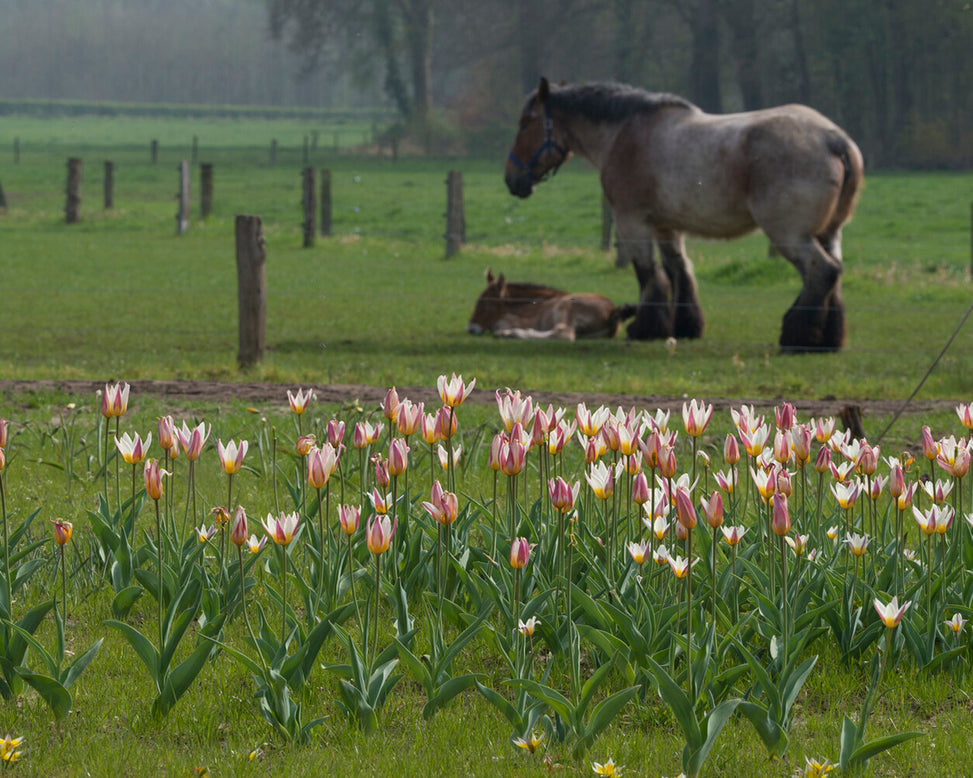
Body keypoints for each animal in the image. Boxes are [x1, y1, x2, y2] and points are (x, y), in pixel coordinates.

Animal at [466, 268, 636, 338]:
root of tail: (612, 310)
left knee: (563, 333)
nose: (470, 328)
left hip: (564, 307)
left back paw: (512, 334)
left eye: (487, 304)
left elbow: (500, 324)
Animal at [504, 76, 860, 352]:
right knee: (835, 277)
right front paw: (685, 326)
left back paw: (797, 336)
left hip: (789, 235)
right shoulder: (666, 227)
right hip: (829, 233)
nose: (511, 179)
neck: (624, 133)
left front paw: (646, 328)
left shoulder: (632, 222)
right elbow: (680, 272)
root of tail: (834, 139)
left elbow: (649, 274)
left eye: (525, 123)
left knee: (821, 273)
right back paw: (827, 339)